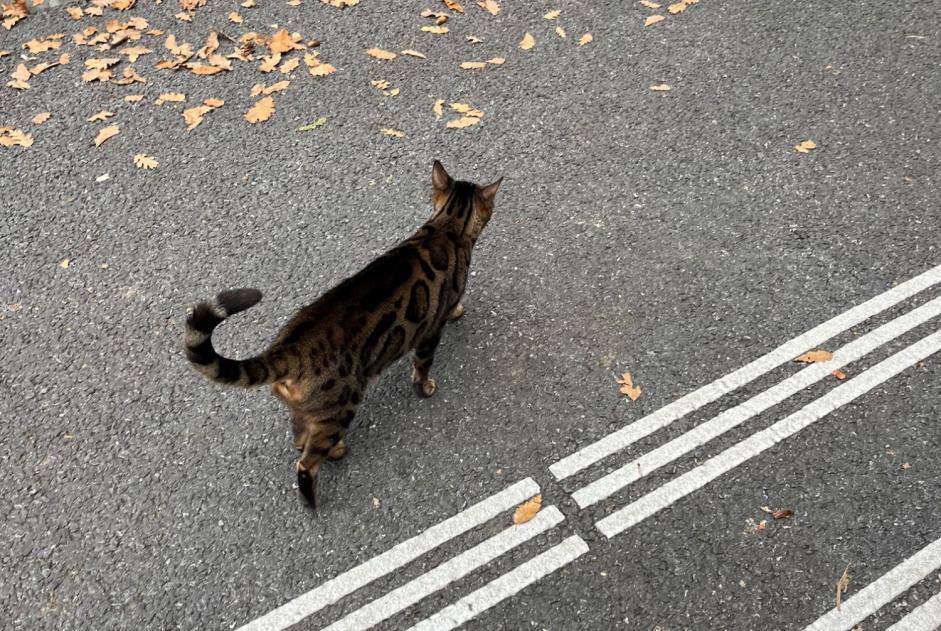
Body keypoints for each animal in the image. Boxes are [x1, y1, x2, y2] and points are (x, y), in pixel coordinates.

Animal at [183, 162, 500, 508]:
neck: (448, 226)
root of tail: (289, 348)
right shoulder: (431, 331)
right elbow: (423, 366)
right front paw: (426, 386)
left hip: (309, 408)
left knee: (299, 439)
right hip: (341, 409)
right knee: (305, 463)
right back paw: (315, 496)